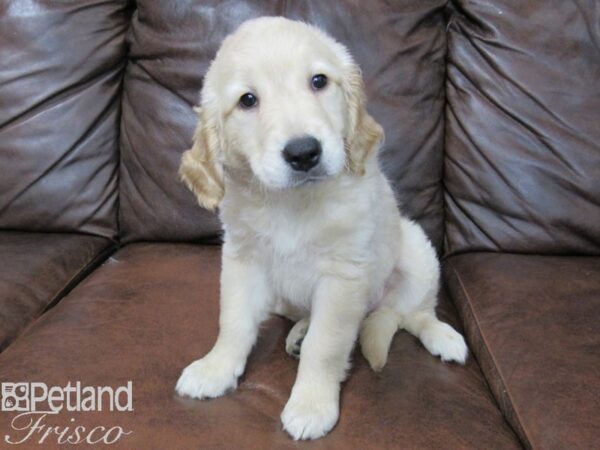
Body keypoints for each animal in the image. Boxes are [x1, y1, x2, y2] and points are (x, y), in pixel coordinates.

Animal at [175, 16, 468, 440]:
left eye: (318, 81)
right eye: (247, 100)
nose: (304, 153)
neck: (291, 203)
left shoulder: (342, 275)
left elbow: (326, 345)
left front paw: (311, 404)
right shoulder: (243, 259)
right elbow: (233, 322)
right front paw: (216, 368)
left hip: (417, 252)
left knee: (413, 313)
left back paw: (443, 336)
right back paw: (298, 332)